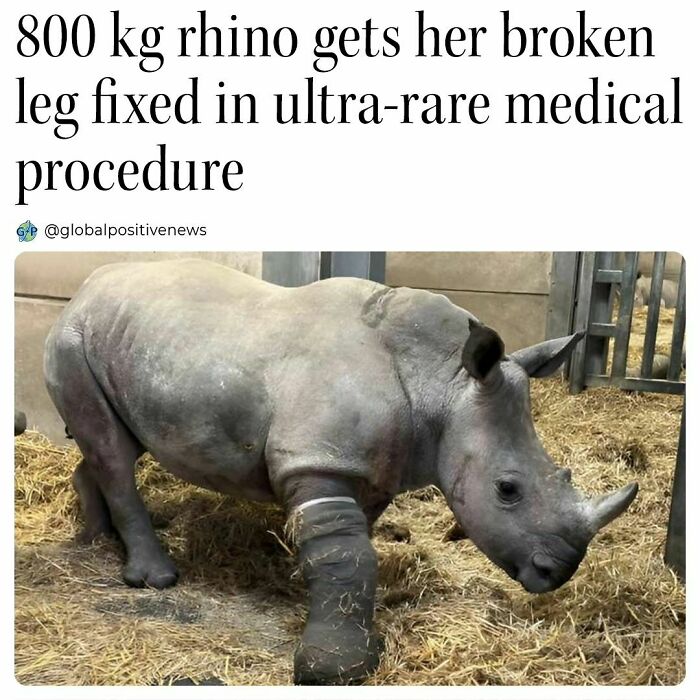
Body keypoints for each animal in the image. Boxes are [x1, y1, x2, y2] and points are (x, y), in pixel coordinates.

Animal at [43, 260, 638, 685]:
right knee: (114, 450)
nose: (556, 572)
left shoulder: (370, 468)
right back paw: (155, 578)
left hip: (130, 342)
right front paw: (333, 666)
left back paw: (94, 538)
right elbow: (348, 554)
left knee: (115, 444)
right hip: (72, 339)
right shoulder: (318, 459)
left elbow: (352, 549)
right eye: (507, 490)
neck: (441, 382)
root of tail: (86, 289)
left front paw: (301, 586)